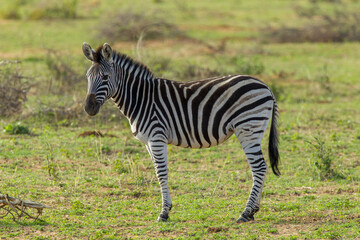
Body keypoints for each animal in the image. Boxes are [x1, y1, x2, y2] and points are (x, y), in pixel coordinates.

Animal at [82, 42, 282, 223]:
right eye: (87, 77)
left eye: (105, 77)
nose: (88, 108)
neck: (141, 98)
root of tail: (266, 86)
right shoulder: (148, 142)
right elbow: (156, 171)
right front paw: (166, 208)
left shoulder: (157, 137)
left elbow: (161, 172)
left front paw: (164, 212)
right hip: (254, 129)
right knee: (261, 168)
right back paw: (253, 211)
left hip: (248, 128)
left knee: (259, 167)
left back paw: (245, 213)